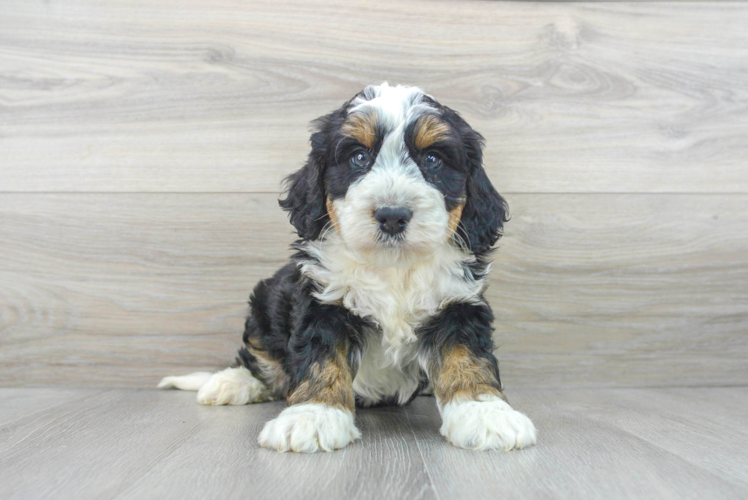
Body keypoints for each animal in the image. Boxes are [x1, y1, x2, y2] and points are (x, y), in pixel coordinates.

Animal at [161, 83, 536, 454]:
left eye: (432, 159)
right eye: (359, 157)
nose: (392, 215)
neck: (393, 266)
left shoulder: (457, 303)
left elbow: (467, 358)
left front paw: (485, 412)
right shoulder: (323, 299)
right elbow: (322, 359)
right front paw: (313, 416)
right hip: (266, 300)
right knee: (258, 354)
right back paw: (230, 382)